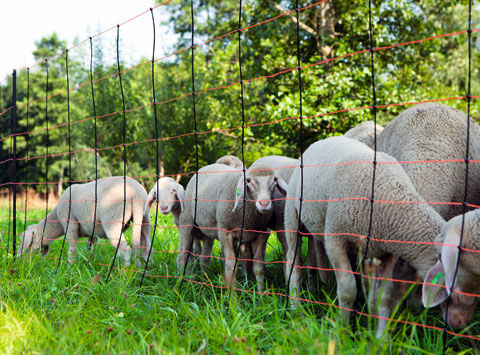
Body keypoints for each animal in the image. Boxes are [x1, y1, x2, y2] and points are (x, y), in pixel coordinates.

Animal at [17, 177, 152, 268]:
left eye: (25, 244)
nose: (19, 262)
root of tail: (136, 193)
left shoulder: (70, 224)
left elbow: (72, 249)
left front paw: (70, 268)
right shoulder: (92, 232)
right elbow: (90, 248)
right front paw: (88, 263)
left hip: (113, 219)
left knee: (125, 249)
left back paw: (124, 272)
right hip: (144, 218)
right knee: (147, 246)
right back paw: (147, 269)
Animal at [284, 137, 448, 340]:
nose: (455, 324)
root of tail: (320, 142)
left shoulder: (386, 253)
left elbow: (383, 298)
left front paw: (380, 338)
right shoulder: (335, 239)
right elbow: (347, 291)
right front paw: (342, 333)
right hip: (292, 215)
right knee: (293, 263)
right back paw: (296, 309)